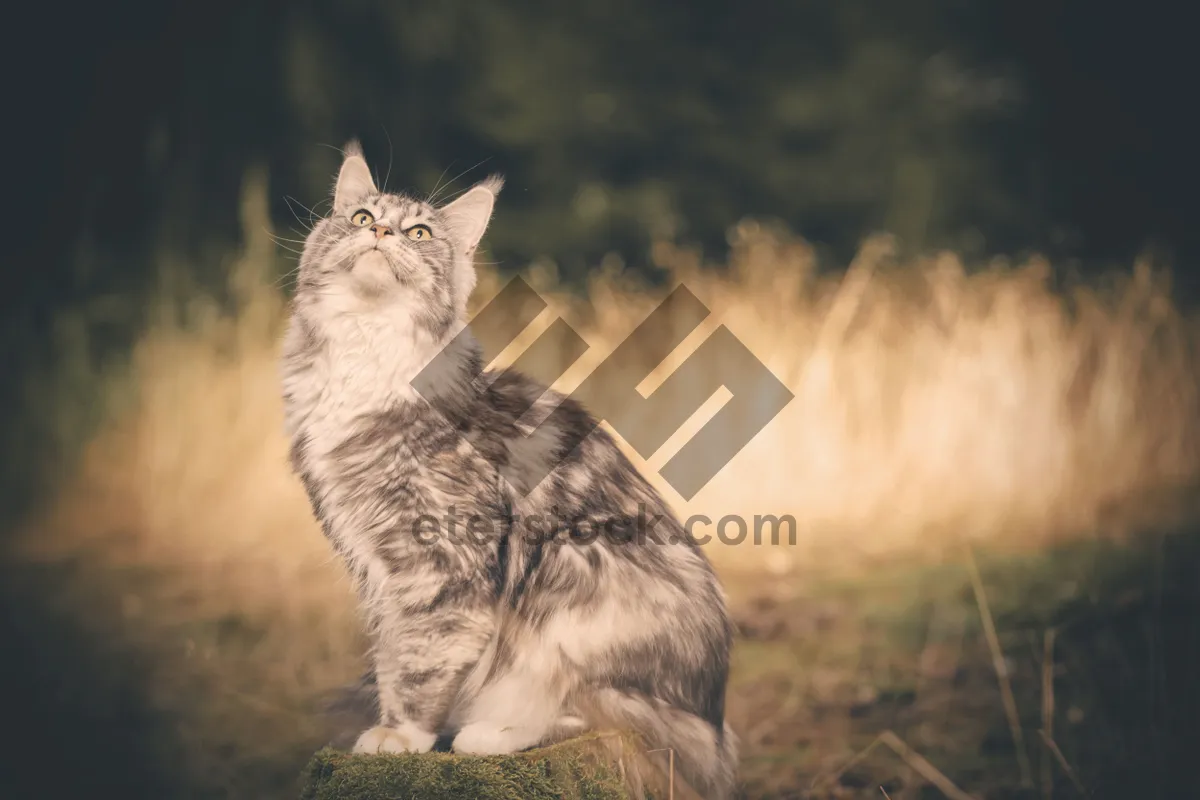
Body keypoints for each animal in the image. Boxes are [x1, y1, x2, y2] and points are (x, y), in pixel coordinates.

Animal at [280, 143, 734, 800]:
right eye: (363, 217)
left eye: (418, 233)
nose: (383, 232)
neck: (364, 352)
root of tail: (715, 725)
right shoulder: (376, 565)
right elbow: (392, 654)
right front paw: (395, 727)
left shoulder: (442, 561)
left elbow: (422, 657)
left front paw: (402, 736)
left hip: (577, 568)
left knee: (598, 713)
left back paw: (491, 732)